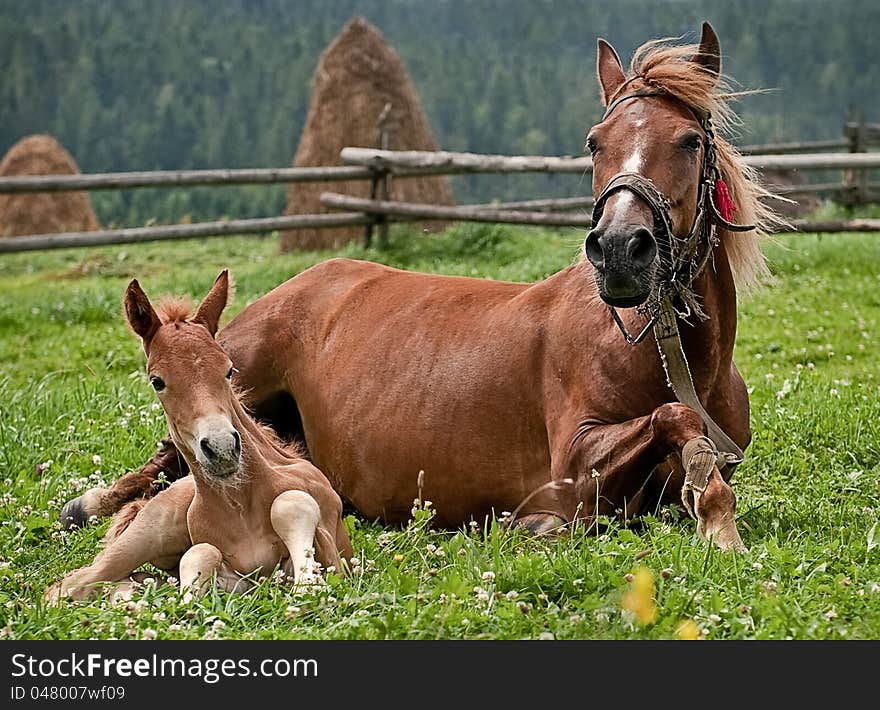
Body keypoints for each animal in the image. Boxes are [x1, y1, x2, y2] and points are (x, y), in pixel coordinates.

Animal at [47, 270, 350, 604]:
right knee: (72, 585)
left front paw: (308, 587)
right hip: (148, 532)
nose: (222, 448)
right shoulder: (235, 577)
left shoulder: (335, 555)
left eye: (229, 370)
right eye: (157, 381)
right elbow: (203, 552)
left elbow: (290, 504)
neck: (240, 505)